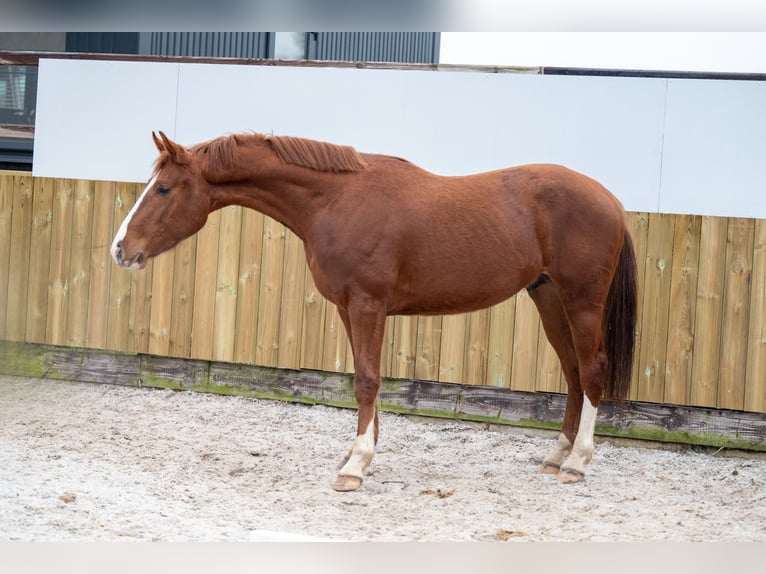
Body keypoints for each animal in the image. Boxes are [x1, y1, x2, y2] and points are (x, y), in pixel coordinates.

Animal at [111, 133, 640, 492]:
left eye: (164, 189)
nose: (120, 249)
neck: (338, 200)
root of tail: (611, 200)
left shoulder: (368, 305)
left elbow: (368, 380)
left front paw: (356, 465)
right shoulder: (350, 309)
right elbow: (362, 379)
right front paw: (359, 454)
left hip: (581, 301)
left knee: (592, 370)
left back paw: (577, 463)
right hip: (548, 297)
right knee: (572, 373)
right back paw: (557, 455)